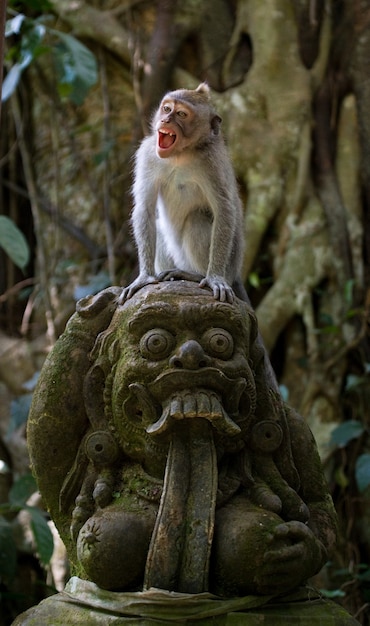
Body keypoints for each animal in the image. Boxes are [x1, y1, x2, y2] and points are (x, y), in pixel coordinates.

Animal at [120, 82, 244, 302]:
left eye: (181, 114)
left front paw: (214, 277)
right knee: (158, 226)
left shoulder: (211, 162)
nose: (165, 120)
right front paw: (145, 277)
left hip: (229, 267)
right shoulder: (148, 154)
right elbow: (145, 208)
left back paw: (195, 275)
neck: (179, 155)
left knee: (197, 218)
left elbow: (224, 210)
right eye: (167, 109)